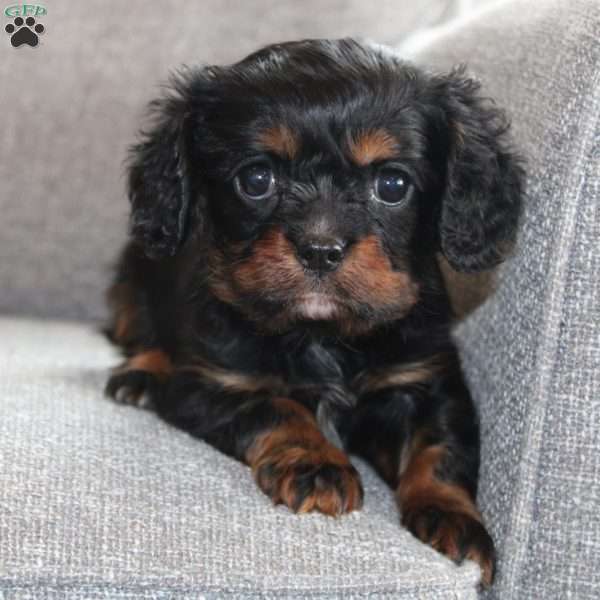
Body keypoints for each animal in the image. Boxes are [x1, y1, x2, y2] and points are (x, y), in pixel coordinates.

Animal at [104, 39, 524, 588]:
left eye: (393, 184)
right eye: (256, 179)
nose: (320, 249)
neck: (321, 334)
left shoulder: (427, 379)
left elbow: (440, 449)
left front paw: (451, 516)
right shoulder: (210, 384)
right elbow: (278, 406)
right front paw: (317, 466)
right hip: (134, 281)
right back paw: (139, 375)